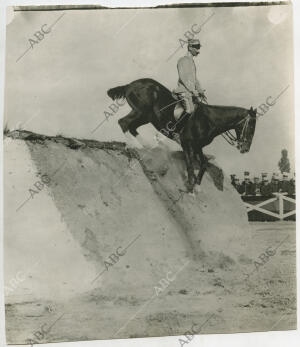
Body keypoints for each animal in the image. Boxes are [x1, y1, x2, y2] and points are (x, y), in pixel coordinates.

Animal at [106, 78, 256, 192]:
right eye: (251, 127)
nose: (245, 149)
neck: (209, 120)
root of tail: (131, 84)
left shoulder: (198, 146)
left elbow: (203, 163)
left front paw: (197, 186)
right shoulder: (187, 143)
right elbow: (189, 164)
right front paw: (190, 186)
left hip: (146, 116)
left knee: (132, 127)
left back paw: (146, 146)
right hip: (141, 111)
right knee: (124, 123)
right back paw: (136, 146)